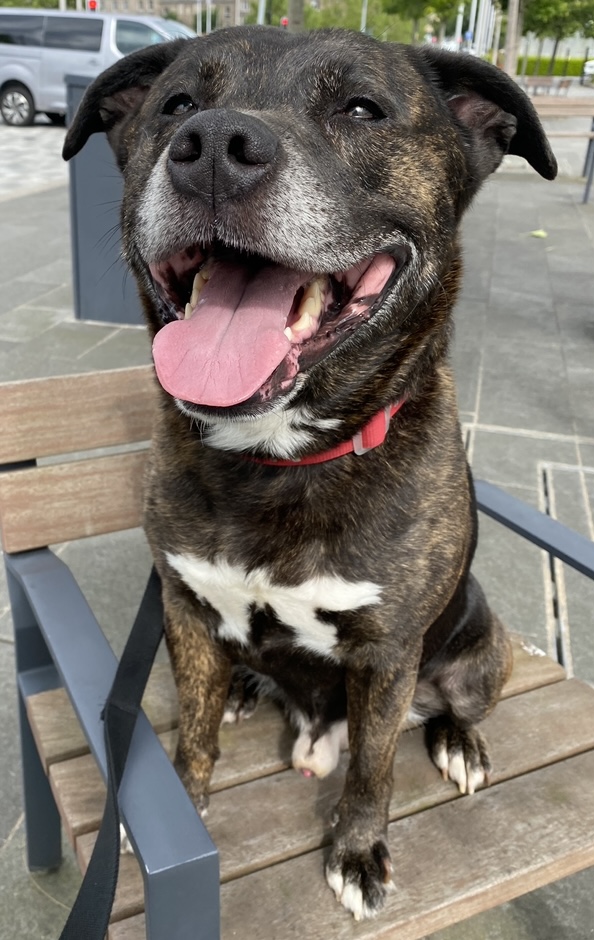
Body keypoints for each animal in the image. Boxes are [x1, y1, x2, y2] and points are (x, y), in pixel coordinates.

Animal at [63, 25, 556, 920]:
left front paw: (357, 851)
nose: (214, 146)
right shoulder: (183, 608)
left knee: (443, 708)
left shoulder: (388, 654)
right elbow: (193, 732)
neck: (275, 462)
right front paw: (184, 795)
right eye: (176, 104)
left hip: (478, 650)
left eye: (361, 108)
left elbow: (373, 769)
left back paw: (458, 741)